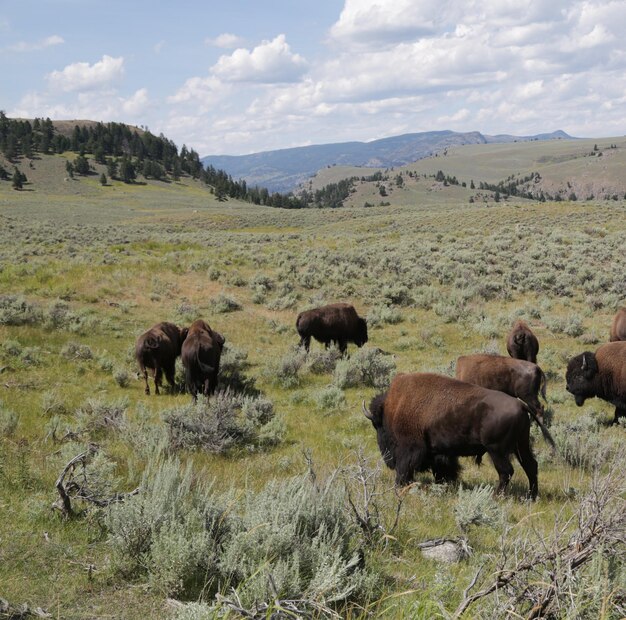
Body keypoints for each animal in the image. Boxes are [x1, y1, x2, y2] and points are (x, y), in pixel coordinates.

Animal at [358, 372, 552, 498]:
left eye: (378, 425)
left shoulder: (410, 449)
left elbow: (404, 468)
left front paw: (400, 486)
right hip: (521, 446)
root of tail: (521, 405)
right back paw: (531, 496)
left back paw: (496, 496)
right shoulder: (439, 453)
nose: (386, 456)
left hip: (496, 450)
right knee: (530, 466)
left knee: (506, 471)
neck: (395, 407)